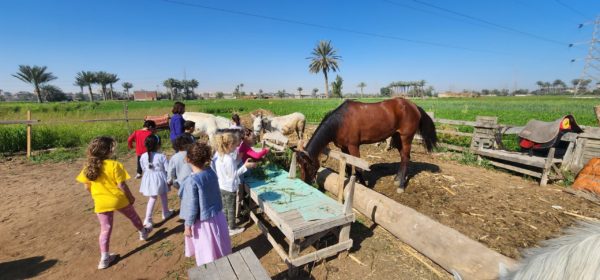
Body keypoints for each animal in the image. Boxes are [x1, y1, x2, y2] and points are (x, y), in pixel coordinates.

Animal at [296, 98, 436, 192]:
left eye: (307, 165)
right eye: (299, 166)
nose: (304, 183)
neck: (340, 122)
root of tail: (414, 106)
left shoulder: (353, 146)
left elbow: (358, 166)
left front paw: (363, 184)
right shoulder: (343, 147)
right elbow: (348, 165)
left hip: (406, 137)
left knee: (406, 158)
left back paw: (401, 185)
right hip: (397, 137)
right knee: (403, 157)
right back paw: (397, 179)